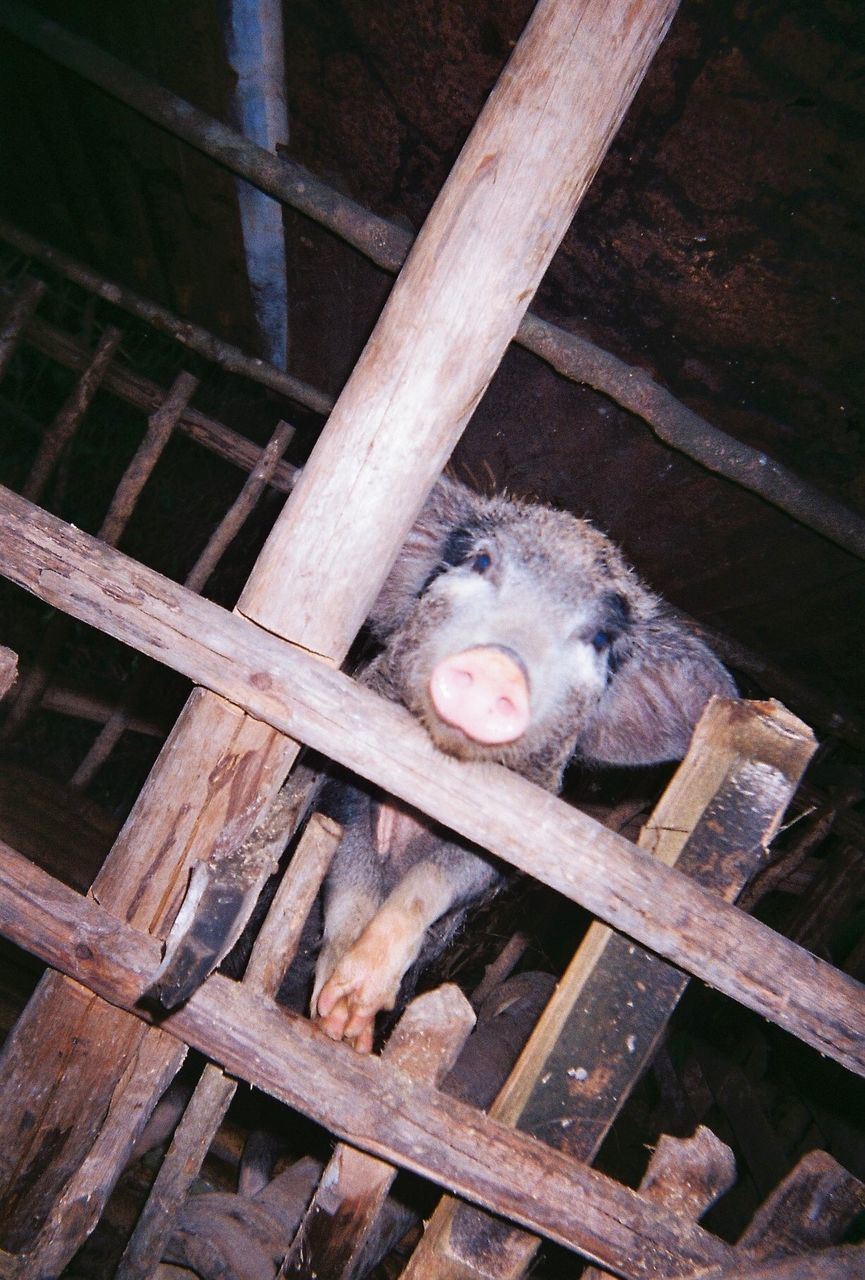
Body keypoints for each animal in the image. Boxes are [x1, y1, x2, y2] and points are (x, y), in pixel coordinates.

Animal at [307, 478, 731, 1049]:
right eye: (482, 561)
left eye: (600, 639)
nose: (498, 665)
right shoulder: (342, 775)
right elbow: (349, 869)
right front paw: (333, 1020)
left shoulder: (502, 857)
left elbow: (431, 884)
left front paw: (353, 1022)